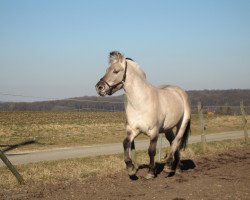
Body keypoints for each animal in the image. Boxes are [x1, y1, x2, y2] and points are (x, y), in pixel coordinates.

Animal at [95, 50, 191, 179]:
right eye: (106, 70)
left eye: (116, 71)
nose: (99, 87)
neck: (141, 103)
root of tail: (179, 91)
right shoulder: (133, 130)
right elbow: (125, 144)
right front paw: (131, 169)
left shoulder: (154, 132)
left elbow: (151, 151)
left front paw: (150, 172)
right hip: (168, 129)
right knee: (173, 143)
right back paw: (177, 168)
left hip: (182, 124)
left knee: (176, 142)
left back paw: (167, 167)